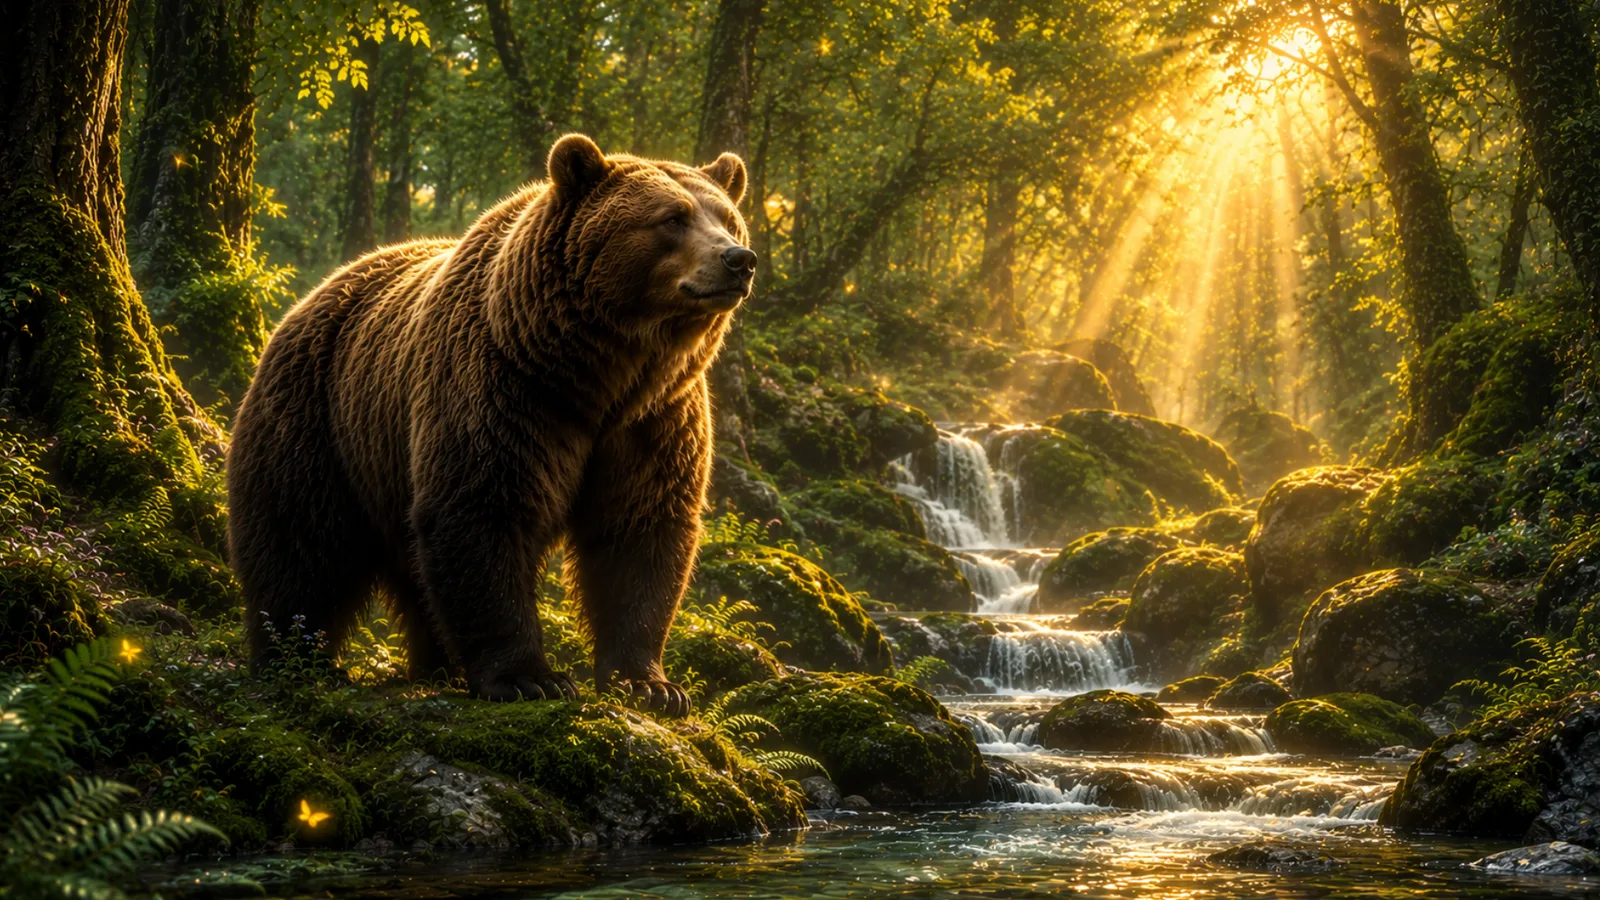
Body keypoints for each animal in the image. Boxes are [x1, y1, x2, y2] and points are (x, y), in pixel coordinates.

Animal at [227, 134, 756, 714]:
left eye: (729, 219)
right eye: (672, 218)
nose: (738, 259)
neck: (599, 373)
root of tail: (311, 295)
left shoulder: (656, 419)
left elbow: (639, 532)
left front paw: (650, 684)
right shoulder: (505, 389)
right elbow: (484, 508)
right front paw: (530, 678)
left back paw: (433, 663)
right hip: (321, 420)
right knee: (301, 542)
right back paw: (297, 657)